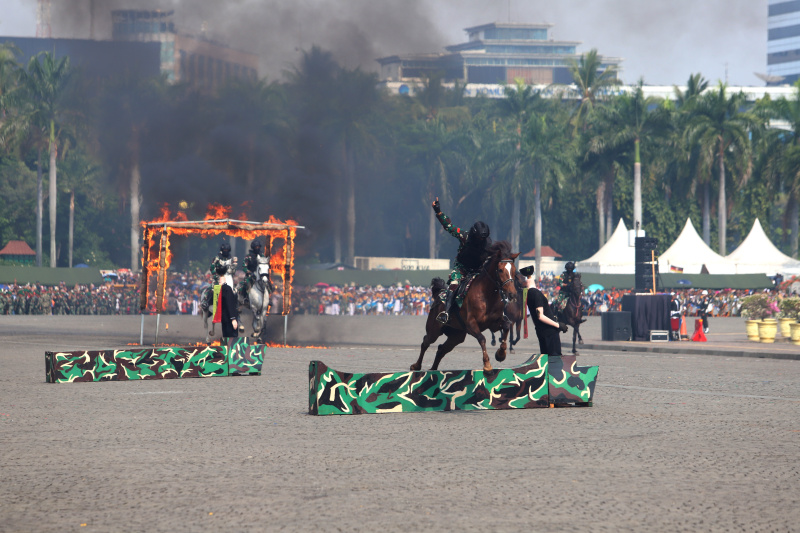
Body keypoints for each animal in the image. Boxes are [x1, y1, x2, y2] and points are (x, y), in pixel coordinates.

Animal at [412, 241, 520, 370]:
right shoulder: (471, 324)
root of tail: (439, 294)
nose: (512, 293)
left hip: (456, 336)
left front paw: (501, 354)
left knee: (441, 349)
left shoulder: (494, 323)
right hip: (434, 330)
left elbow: (507, 326)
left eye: (514, 270)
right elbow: (482, 339)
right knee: (426, 342)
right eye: (500, 270)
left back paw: (433, 369)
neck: (486, 296)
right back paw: (416, 366)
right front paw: (487, 366)